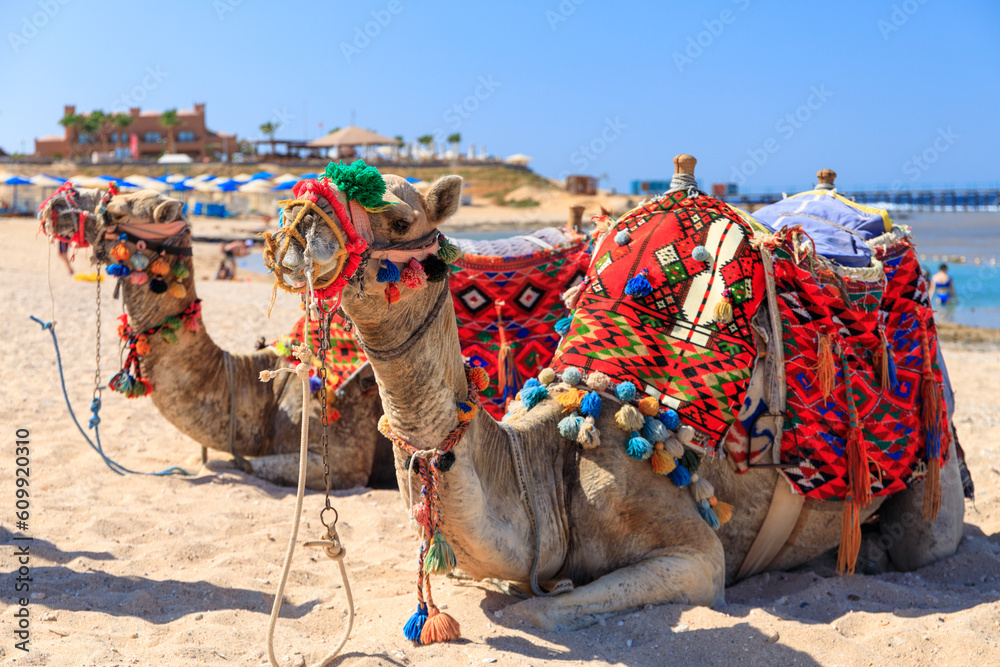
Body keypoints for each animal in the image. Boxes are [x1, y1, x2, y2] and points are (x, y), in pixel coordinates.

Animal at [267, 157, 965, 633]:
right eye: (306, 192)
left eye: (400, 217)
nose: (301, 224)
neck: (552, 463)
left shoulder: (695, 555)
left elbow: (540, 612)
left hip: (934, 461)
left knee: (925, 541)